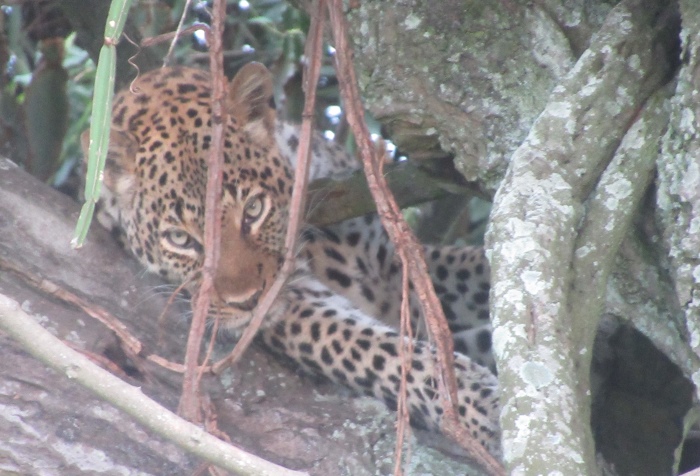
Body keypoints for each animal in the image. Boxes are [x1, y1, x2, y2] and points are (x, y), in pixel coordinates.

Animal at [86, 63, 501, 458]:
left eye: (254, 209)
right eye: (180, 239)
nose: (249, 301)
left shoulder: (395, 263)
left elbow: (476, 276)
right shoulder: (296, 302)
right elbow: (381, 351)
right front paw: (485, 407)